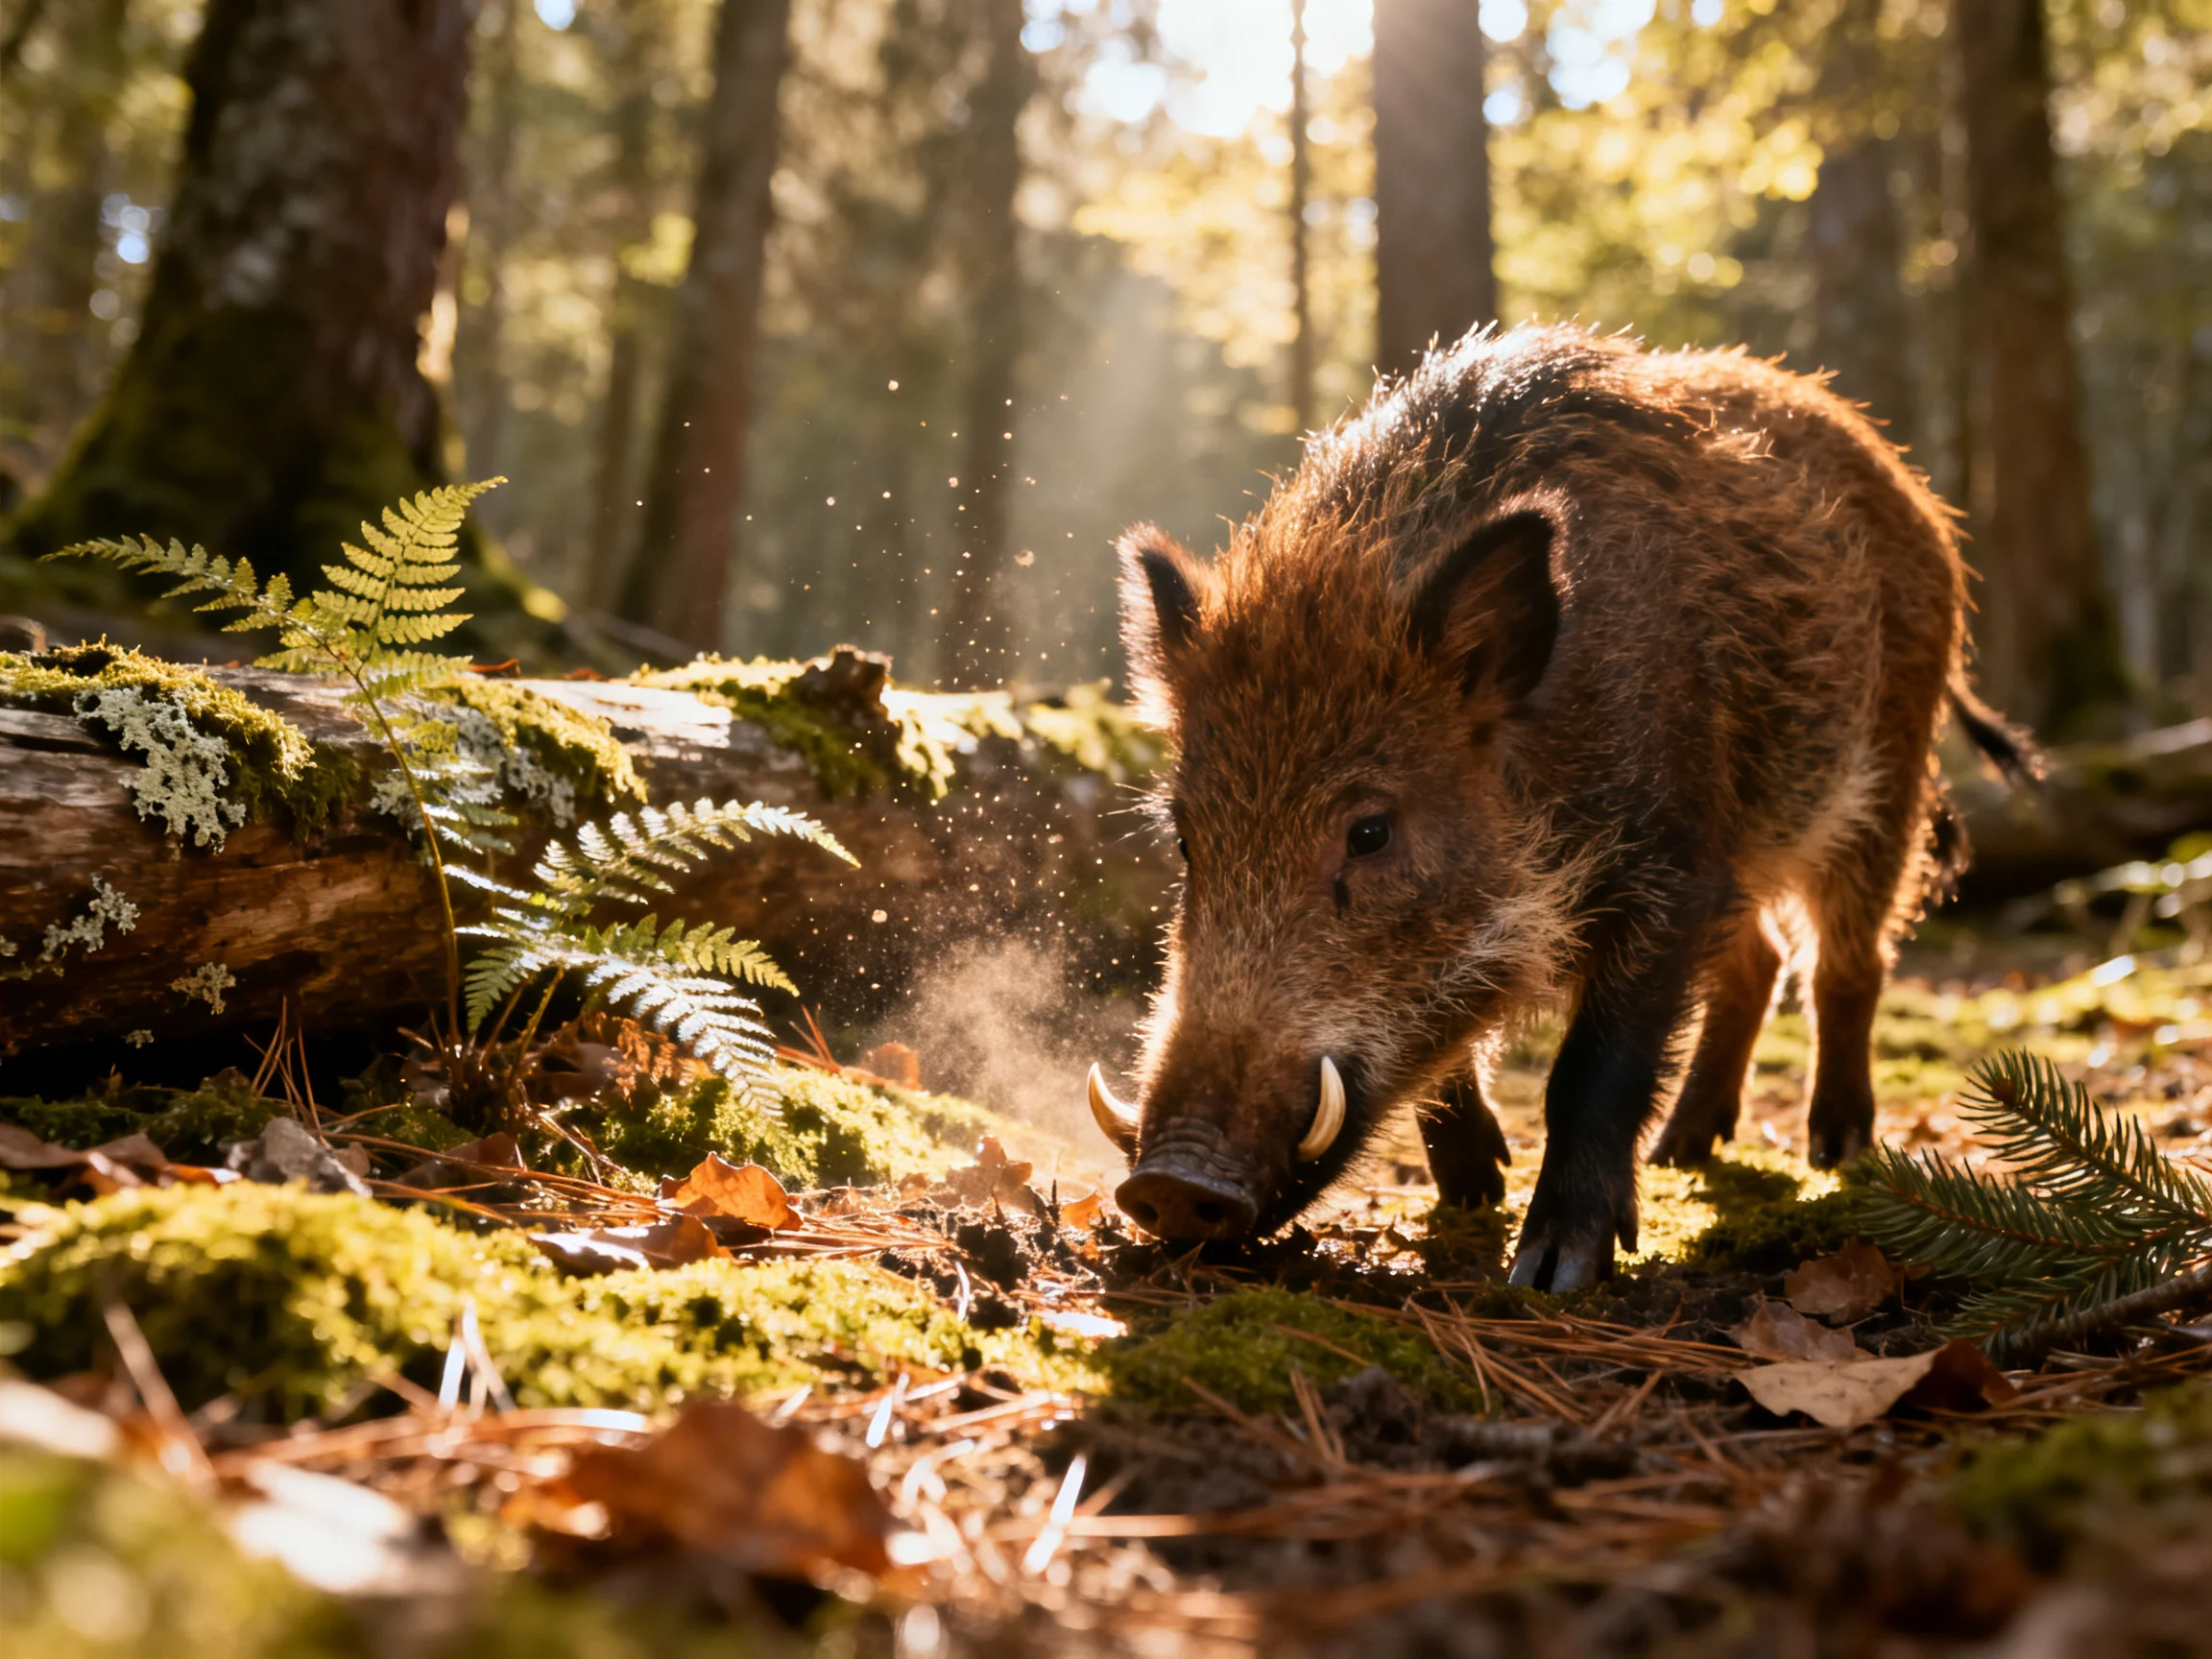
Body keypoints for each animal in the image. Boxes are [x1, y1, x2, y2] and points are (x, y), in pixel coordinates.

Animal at [1085, 323, 2037, 1291]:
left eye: (1370, 831)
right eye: (1185, 838)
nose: (1169, 1184)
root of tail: (1912, 490)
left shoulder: (1669, 867)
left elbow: (1592, 1068)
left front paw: (1551, 1271)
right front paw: (1473, 1196)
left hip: (1886, 771)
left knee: (1846, 961)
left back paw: (1835, 1150)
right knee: (1759, 963)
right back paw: (1683, 1151)